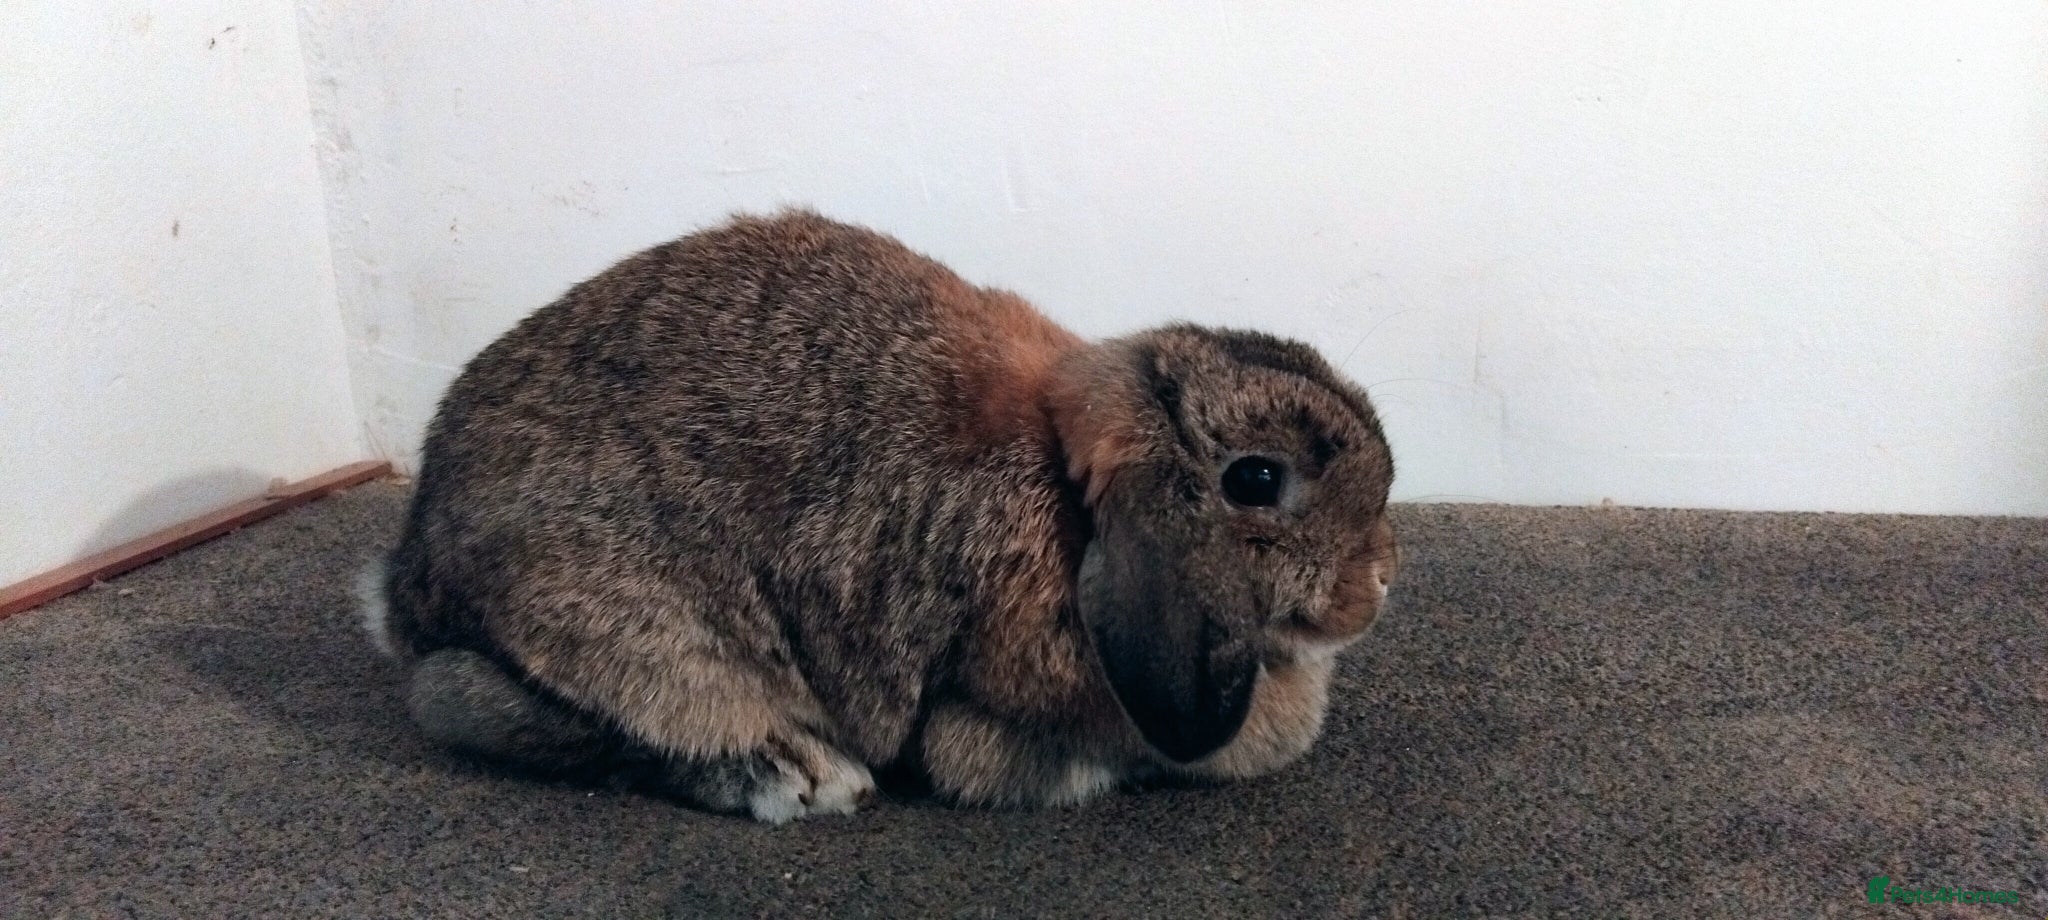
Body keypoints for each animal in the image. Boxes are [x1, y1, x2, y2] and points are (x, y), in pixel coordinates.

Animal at [360, 210, 1398, 822]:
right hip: (626, 632)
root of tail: (406, 590)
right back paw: (794, 772)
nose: (1381, 578)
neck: (1068, 507)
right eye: (1256, 480)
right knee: (496, 707)